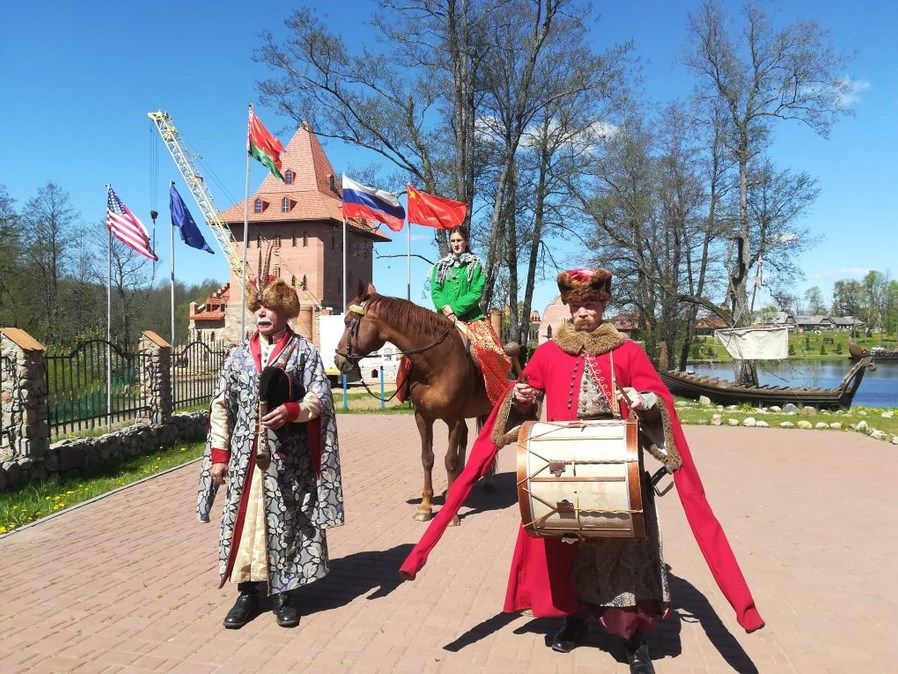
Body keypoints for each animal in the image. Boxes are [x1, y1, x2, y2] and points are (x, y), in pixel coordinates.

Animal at [334, 280, 490, 524]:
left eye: (348, 322)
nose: (337, 359)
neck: (437, 365)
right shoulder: (423, 417)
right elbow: (428, 458)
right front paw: (425, 506)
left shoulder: (453, 419)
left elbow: (450, 460)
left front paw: (451, 513)